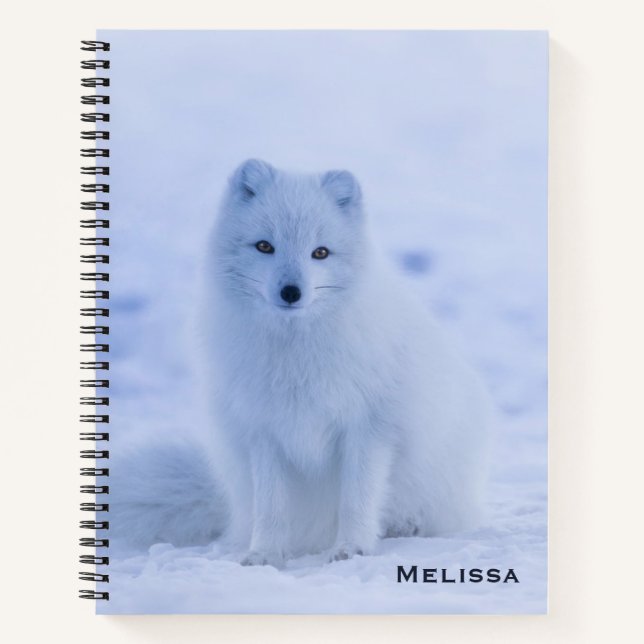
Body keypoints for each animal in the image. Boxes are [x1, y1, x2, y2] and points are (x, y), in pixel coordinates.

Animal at [110, 159, 492, 566]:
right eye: (265, 246)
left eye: (320, 253)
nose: (291, 292)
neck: (295, 354)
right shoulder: (263, 431)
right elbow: (271, 507)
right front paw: (264, 554)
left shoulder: (369, 428)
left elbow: (357, 500)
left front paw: (351, 548)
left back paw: (406, 526)